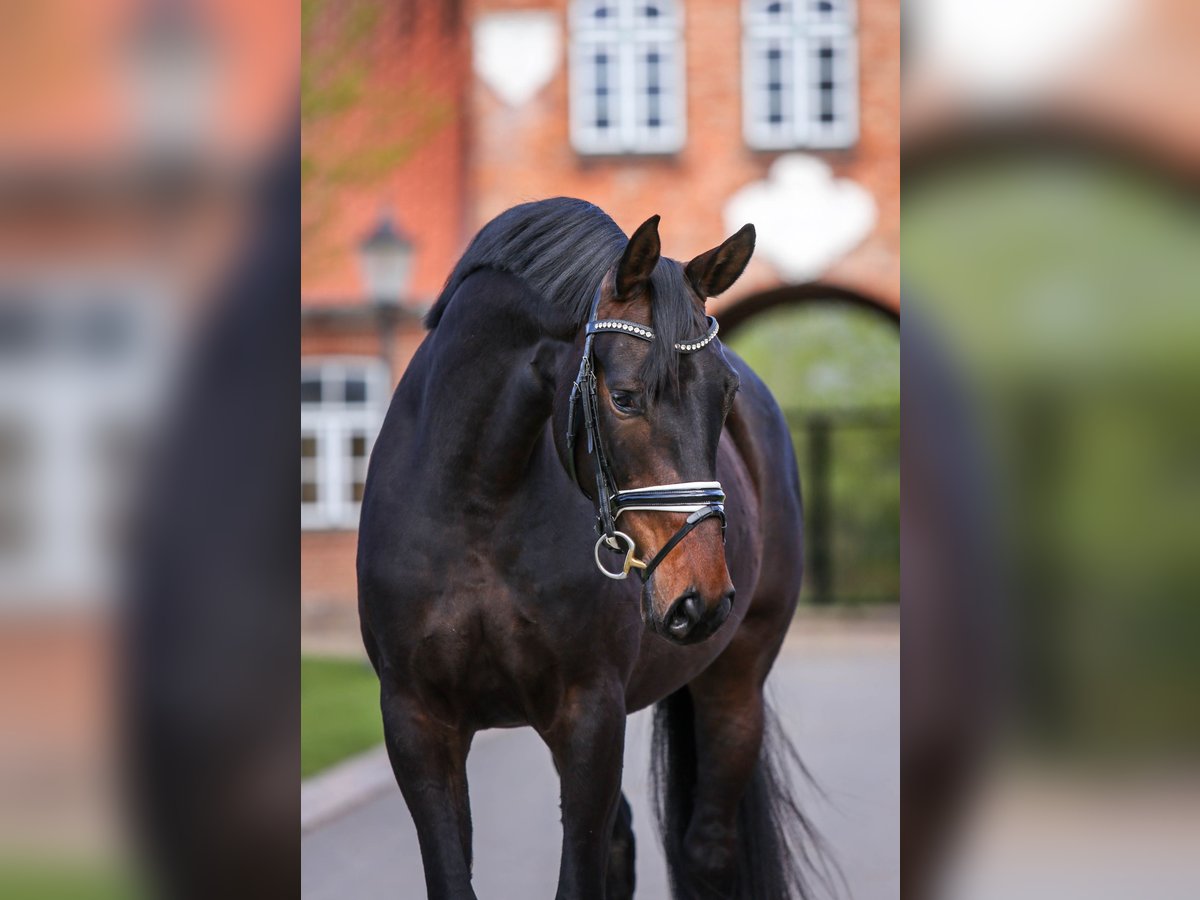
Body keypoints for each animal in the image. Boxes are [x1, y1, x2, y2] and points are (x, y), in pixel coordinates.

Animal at [355, 200, 825, 897]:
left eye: (726, 394)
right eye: (624, 397)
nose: (703, 597)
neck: (476, 504)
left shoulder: (590, 715)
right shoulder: (416, 721)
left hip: (736, 681)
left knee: (706, 848)